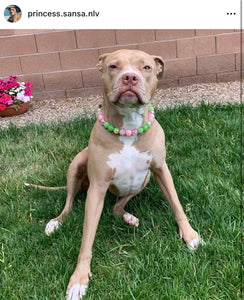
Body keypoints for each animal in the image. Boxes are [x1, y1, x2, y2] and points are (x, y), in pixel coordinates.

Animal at [26, 48, 204, 298]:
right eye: (113, 66)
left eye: (146, 67)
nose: (130, 77)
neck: (128, 128)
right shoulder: (97, 189)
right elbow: (86, 239)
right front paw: (79, 279)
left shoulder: (161, 169)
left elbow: (177, 205)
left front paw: (190, 235)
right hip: (77, 164)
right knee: (69, 203)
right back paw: (56, 222)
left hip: (145, 179)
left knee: (117, 206)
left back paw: (128, 216)